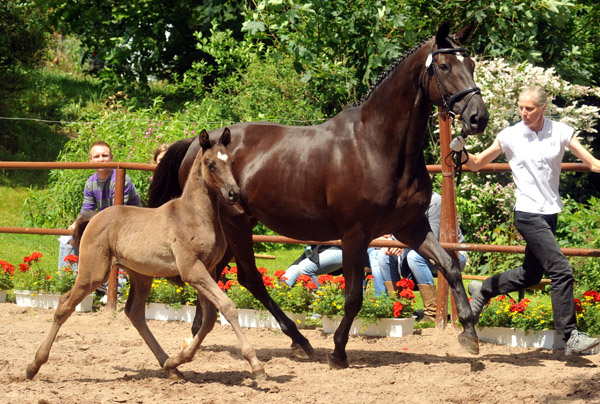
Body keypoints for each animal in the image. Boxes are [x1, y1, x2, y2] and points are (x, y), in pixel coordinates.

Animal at [25, 130, 264, 382]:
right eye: (210, 164)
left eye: (232, 161)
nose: (233, 193)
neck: (196, 215)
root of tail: (94, 218)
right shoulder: (192, 270)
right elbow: (227, 307)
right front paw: (256, 365)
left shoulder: (207, 269)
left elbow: (208, 319)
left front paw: (179, 359)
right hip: (93, 273)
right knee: (64, 306)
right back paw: (33, 366)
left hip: (140, 275)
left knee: (135, 313)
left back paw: (170, 366)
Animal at [149, 22, 488, 370]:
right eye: (444, 66)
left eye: (472, 64)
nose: (479, 117)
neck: (377, 146)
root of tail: (196, 143)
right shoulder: (355, 234)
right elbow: (353, 296)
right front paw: (338, 351)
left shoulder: (411, 227)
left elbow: (450, 266)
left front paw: (469, 335)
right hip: (236, 224)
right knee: (249, 278)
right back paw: (297, 340)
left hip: (231, 229)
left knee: (217, 275)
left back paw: (198, 335)